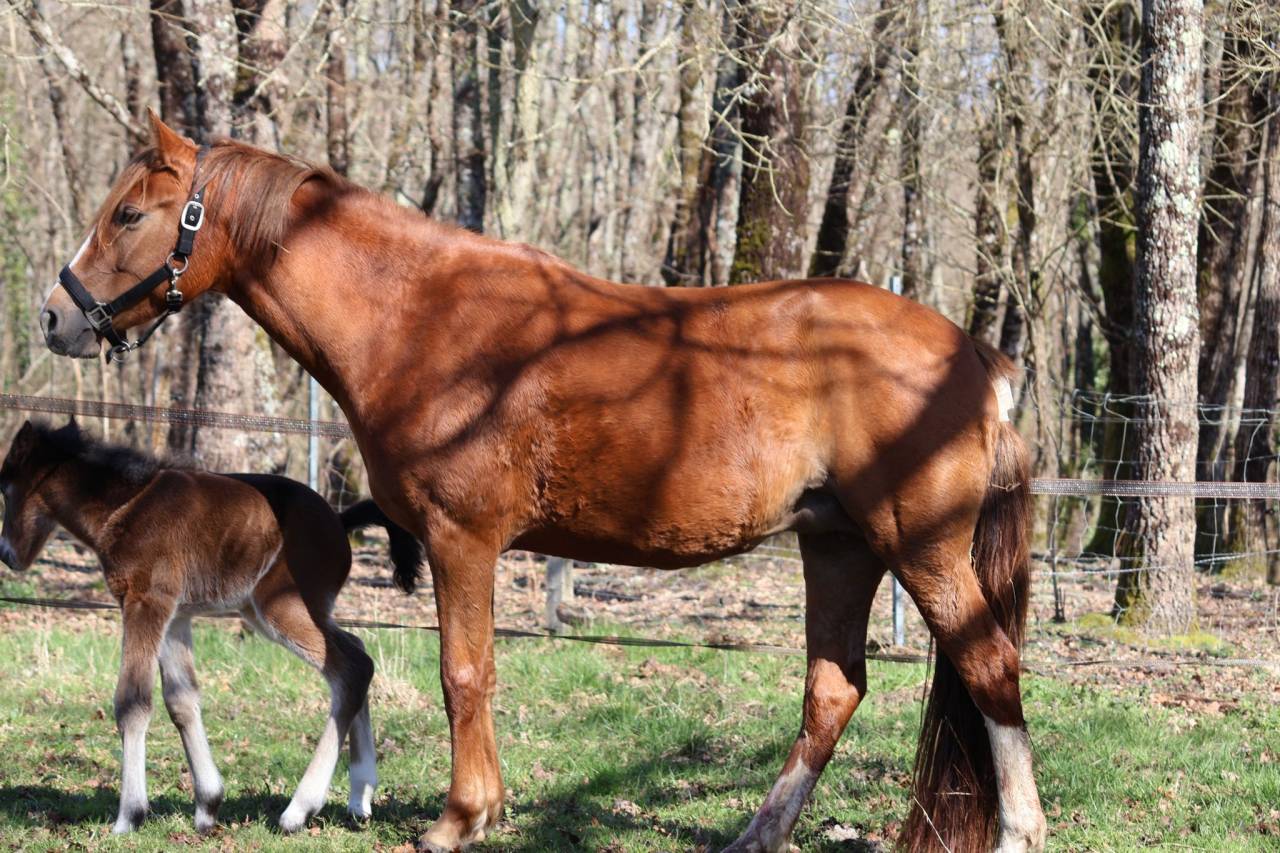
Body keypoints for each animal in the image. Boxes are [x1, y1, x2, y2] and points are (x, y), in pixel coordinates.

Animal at [0, 418, 422, 835]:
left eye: (5, 489)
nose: (7, 555)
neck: (124, 506)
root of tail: (339, 519)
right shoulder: (176, 615)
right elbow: (181, 701)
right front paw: (207, 805)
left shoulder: (145, 602)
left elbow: (132, 702)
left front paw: (128, 817)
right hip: (280, 611)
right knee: (359, 652)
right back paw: (359, 797)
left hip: (281, 607)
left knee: (351, 668)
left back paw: (299, 810)